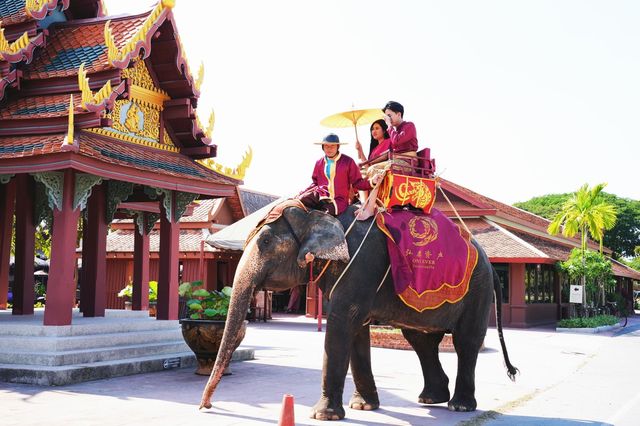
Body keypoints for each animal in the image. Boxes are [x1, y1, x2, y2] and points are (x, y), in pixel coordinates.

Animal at [200, 201, 520, 422]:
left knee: (465, 341)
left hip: (477, 291)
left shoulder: (359, 267)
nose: (207, 407)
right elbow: (356, 332)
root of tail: (491, 264)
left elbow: (341, 325)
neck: (320, 212)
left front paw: (323, 416)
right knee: (421, 340)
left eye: (265, 242)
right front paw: (363, 407)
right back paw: (431, 399)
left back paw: (459, 405)